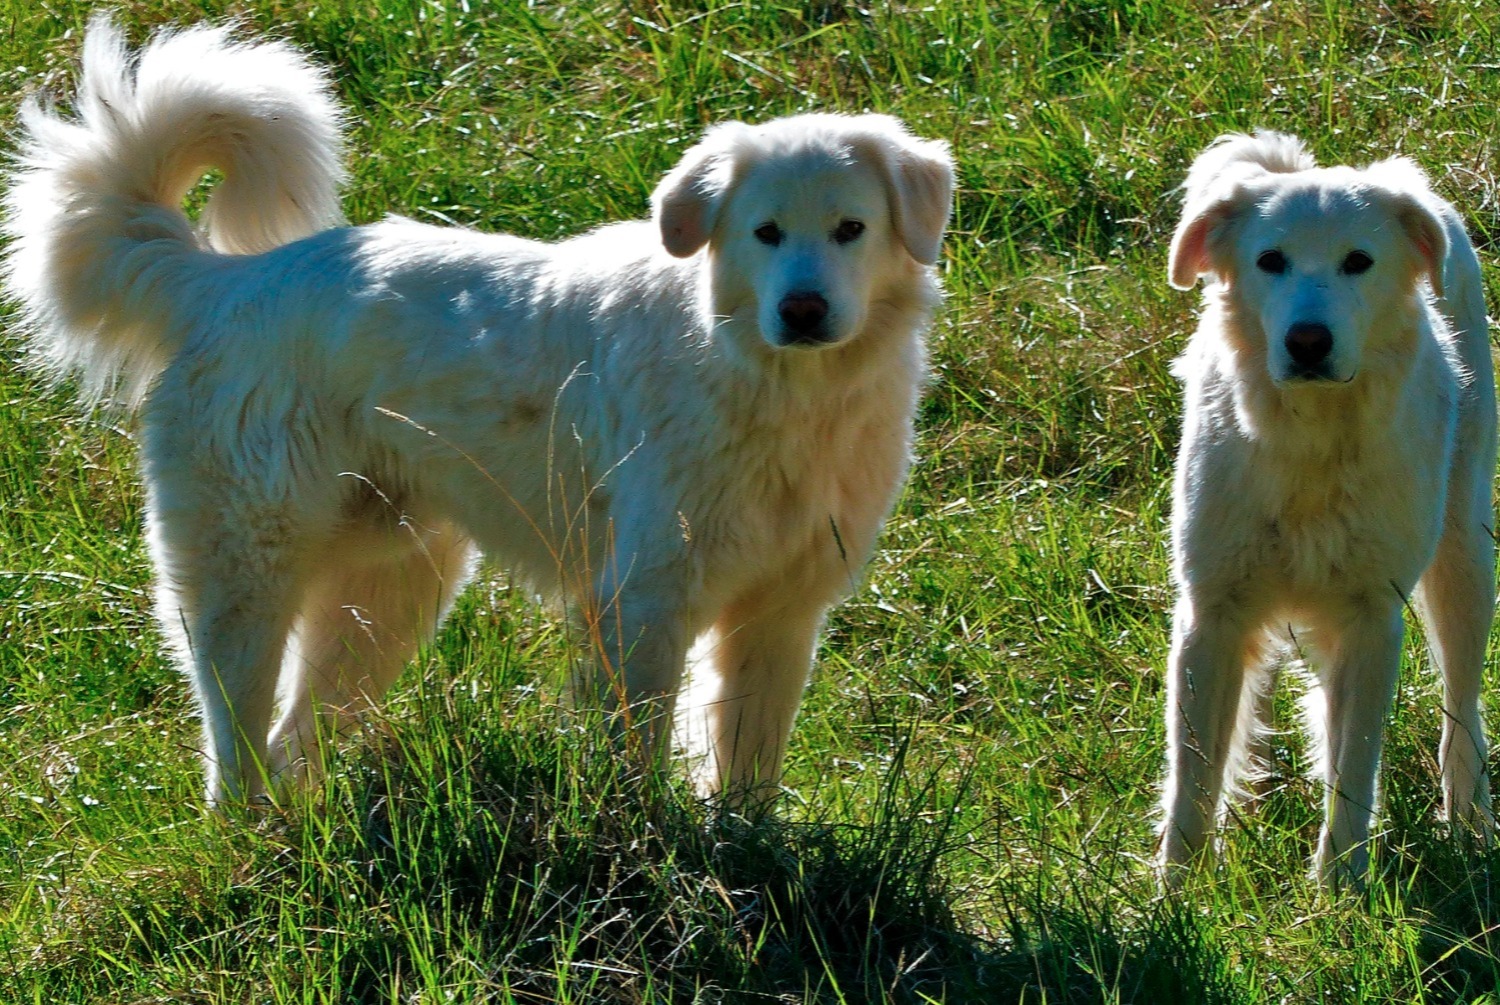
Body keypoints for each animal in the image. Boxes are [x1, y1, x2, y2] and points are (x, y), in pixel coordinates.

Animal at [2, 17, 960, 810]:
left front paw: (745, 848)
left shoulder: (781, 609)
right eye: (765, 233)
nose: (802, 310)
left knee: (291, 741)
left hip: (389, 589)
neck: (778, 388)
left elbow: (747, 760)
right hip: (247, 573)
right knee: (235, 744)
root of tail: (223, 281)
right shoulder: (643, 601)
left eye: (849, 229)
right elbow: (637, 754)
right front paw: (649, 849)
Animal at [1164, 129, 1494, 888]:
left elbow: (1354, 765)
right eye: (1271, 261)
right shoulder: (1212, 613)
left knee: (1461, 710)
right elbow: (1193, 774)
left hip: (1466, 564)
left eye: (1358, 263)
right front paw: (1176, 892)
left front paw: (1339, 886)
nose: (1307, 341)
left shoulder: (1372, 619)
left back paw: (1470, 823)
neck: (1310, 442)